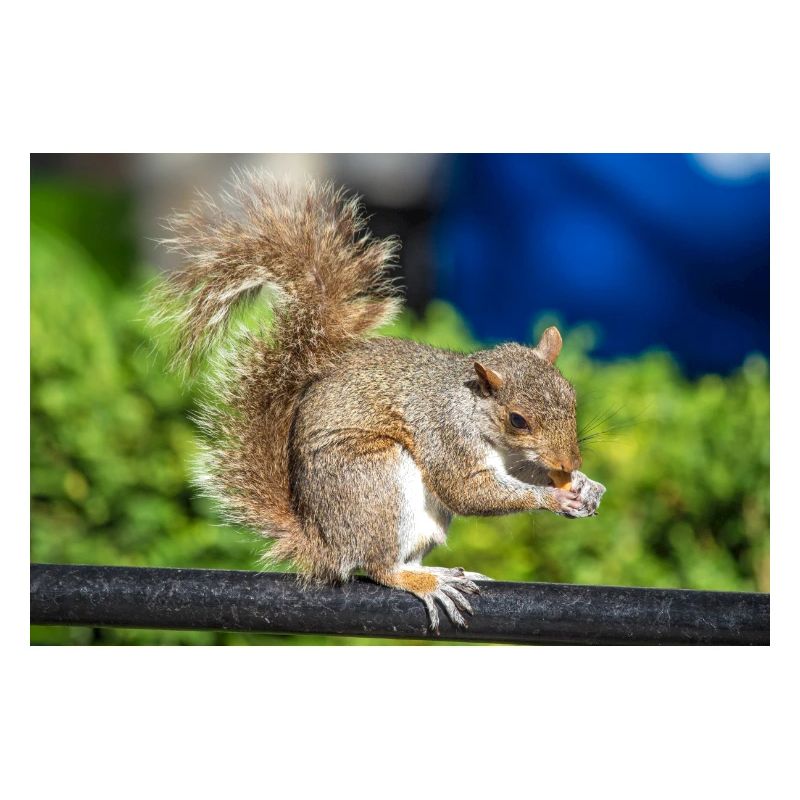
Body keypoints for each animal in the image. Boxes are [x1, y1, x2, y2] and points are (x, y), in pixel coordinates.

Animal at [151, 169, 606, 632]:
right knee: (379, 566)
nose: (571, 462)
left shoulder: (512, 458)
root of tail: (325, 543)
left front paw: (585, 485)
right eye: (517, 419)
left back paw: (437, 572)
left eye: (572, 397)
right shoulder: (446, 435)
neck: (473, 409)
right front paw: (555, 497)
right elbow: (468, 491)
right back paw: (424, 582)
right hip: (376, 480)